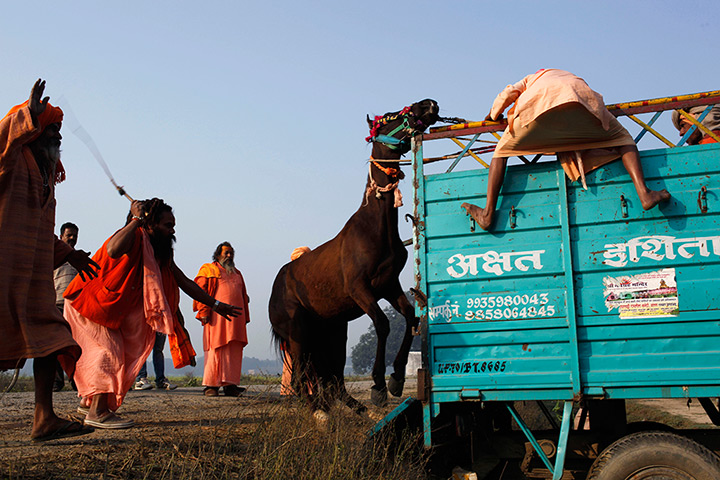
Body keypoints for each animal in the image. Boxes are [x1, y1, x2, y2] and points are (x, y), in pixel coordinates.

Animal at [269, 99, 440, 412]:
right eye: (389, 116)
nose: (428, 104)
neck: (375, 228)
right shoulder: (359, 288)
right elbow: (383, 325)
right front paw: (379, 385)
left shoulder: (388, 285)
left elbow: (410, 318)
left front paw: (396, 377)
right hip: (297, 332)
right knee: (301, 378)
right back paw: (319, 413)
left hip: (331, 330)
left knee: (332, 378)